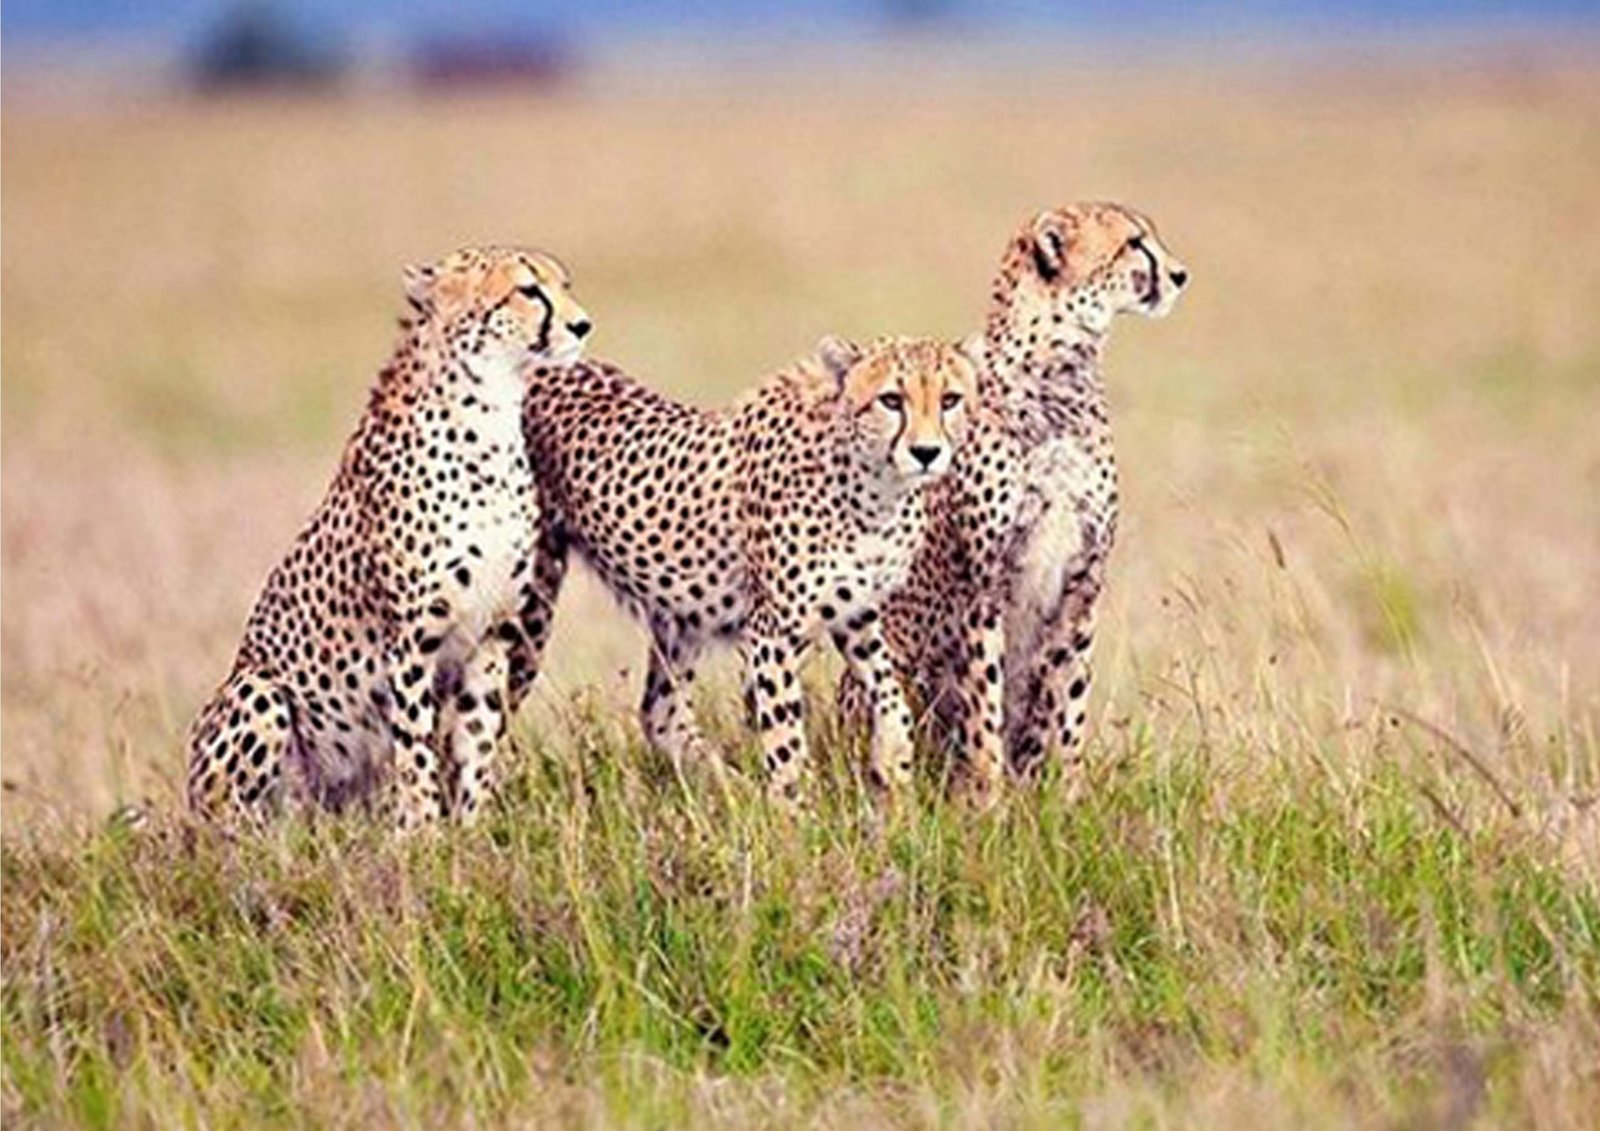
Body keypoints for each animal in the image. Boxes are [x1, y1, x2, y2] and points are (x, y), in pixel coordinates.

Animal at [185, 245, 593, 828]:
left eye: (564, 285)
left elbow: (476, 742)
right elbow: (416, 749)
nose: (582, 324)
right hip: (257, 691)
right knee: (228, 822)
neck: (489, 422)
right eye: (527, 290)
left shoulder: (491, 634)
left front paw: (471, 829)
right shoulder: (411, 642)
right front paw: (422, 834)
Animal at [504, 336, 979, 800]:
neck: (875, 488)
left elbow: (891, 696)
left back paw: (730, 787)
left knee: (660, 712)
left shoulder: (855, 614)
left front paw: (893, 770)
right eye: (891, 400)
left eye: (950, 400)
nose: (926, 452)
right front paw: (795, 815)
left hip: (681, 613)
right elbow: (786, 741)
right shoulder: (773, 630)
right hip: (530, 604)